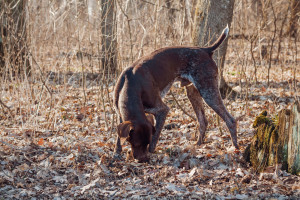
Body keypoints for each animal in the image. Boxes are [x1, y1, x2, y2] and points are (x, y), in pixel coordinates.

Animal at [113, 25, 238, 162]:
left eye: (145, 143)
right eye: (135, 144)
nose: (144, 160)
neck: (132, 84)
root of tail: (205, 50)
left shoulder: (162, 110)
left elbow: (155, 138)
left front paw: (152, 153)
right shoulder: (121, 114)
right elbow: (118, 139)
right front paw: (116, 154)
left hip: (208, 92)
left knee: (230, 121)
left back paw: (235, 149)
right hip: (193, 93)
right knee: (203, 121)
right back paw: (198, 146)